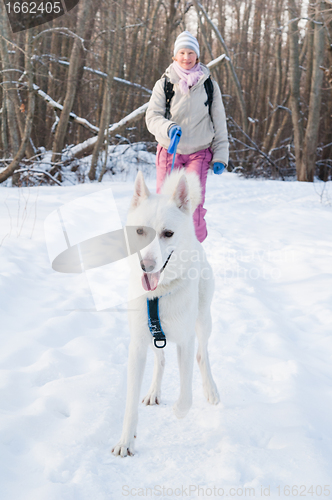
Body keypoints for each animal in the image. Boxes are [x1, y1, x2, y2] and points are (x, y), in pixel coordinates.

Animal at [112, 169, 220, 458]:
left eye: (168, 233)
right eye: (140, 231)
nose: (146, 266)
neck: (157, 295)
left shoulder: (185, 341)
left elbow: (186, 394)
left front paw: (179, 411)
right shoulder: (138, 345)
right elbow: (129, 404)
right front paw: (126, 440)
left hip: (203, 321)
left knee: (202, 355)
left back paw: (211, 389)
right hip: (154, 337)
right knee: (160, 361)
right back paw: (153, 391)